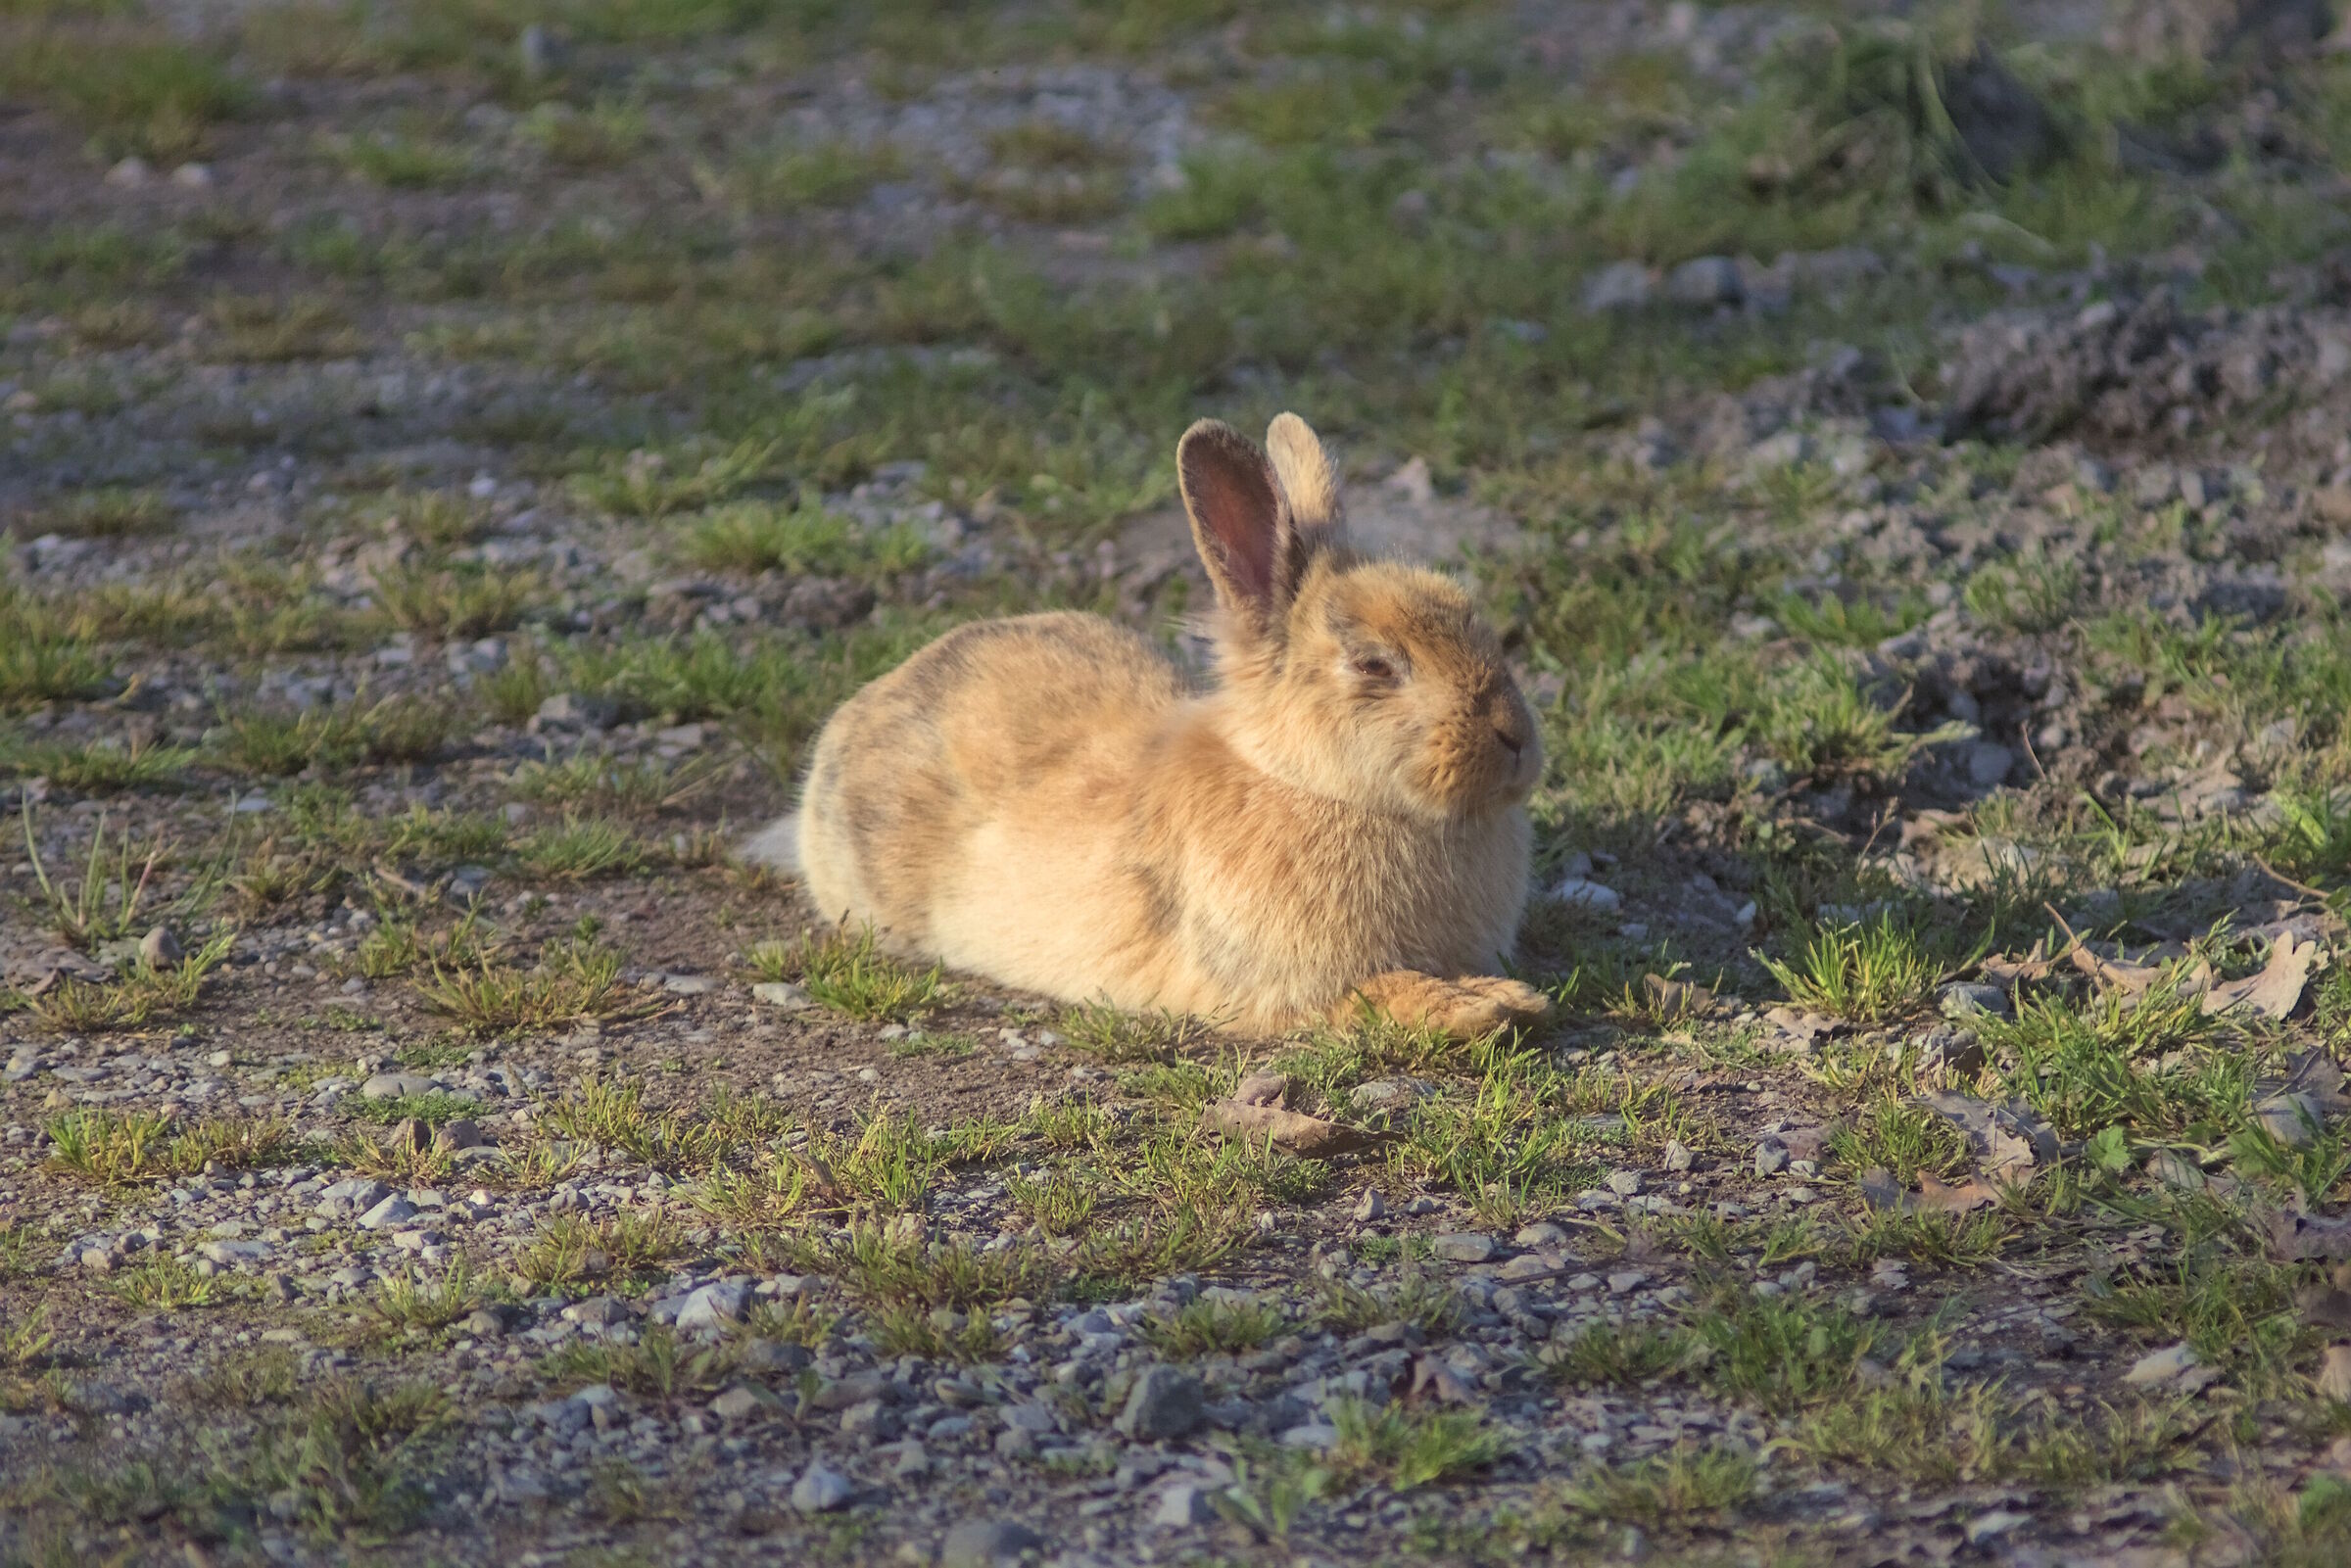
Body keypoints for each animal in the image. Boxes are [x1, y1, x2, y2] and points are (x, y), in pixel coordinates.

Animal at [747, 413, 1549, 1039]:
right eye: (1374, 664)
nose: (1516, 737)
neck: (1308, 783)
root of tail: (853, 721)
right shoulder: (1289, 985)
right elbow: (1378, 994)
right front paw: (1494, 1006)